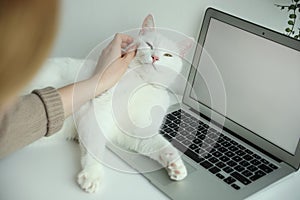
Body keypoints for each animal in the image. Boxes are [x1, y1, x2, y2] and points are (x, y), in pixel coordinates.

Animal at [24, 14, 192, 192]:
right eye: (149, 44)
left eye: (168, 55)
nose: (155, 57)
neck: (141, 84)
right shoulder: (95, 112)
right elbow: (95, 146)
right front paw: (92, 174)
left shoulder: (137, 132)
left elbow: (162, 145)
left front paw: (176, 166)